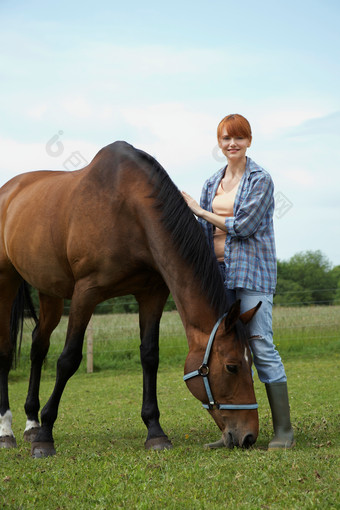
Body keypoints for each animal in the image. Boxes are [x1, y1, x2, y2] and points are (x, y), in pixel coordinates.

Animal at [0, 141, 258, 456]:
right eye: (232, 366)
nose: (249, 436)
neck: (127, 209)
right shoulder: (86, 293)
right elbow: (68, 359)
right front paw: (46, 435)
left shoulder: (152, 295)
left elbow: (149, 356)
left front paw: (155, 431)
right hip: (6, 280)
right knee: (5, 350)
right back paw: (7, 430)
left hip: (49, 290)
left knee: (38, 346)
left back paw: (30, 424)